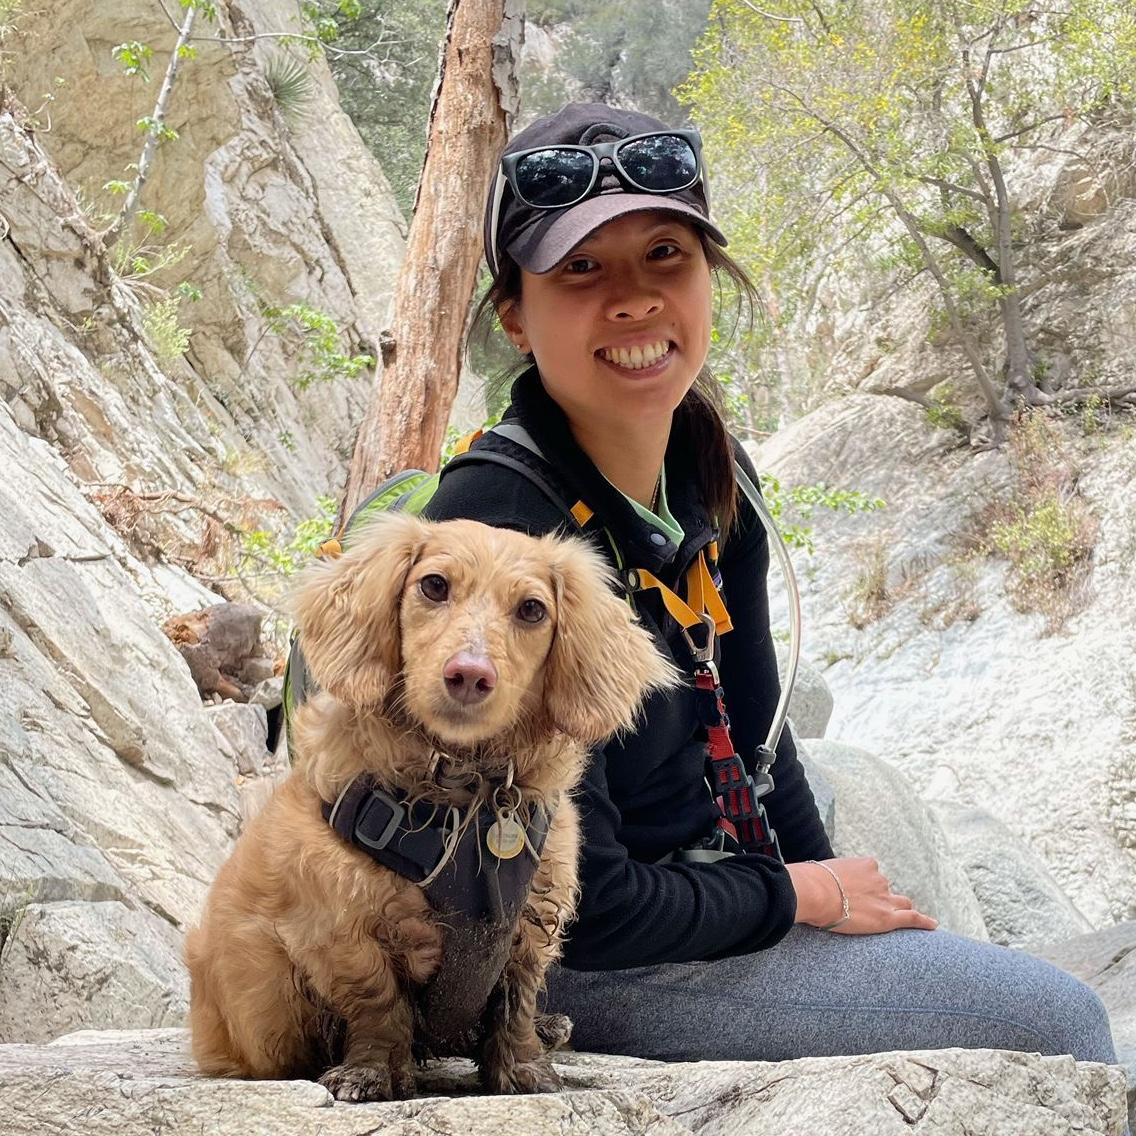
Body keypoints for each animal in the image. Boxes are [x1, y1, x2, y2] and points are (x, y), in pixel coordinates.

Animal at [185, 512, 675, 1101]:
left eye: (532, 609)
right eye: (434, 586)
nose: (469, 675)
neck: (464, 794)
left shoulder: (531, 925)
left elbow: (515, 1001)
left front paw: (523, 1068)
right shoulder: (342, 927)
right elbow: (378, 1003)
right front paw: (373, 1072)